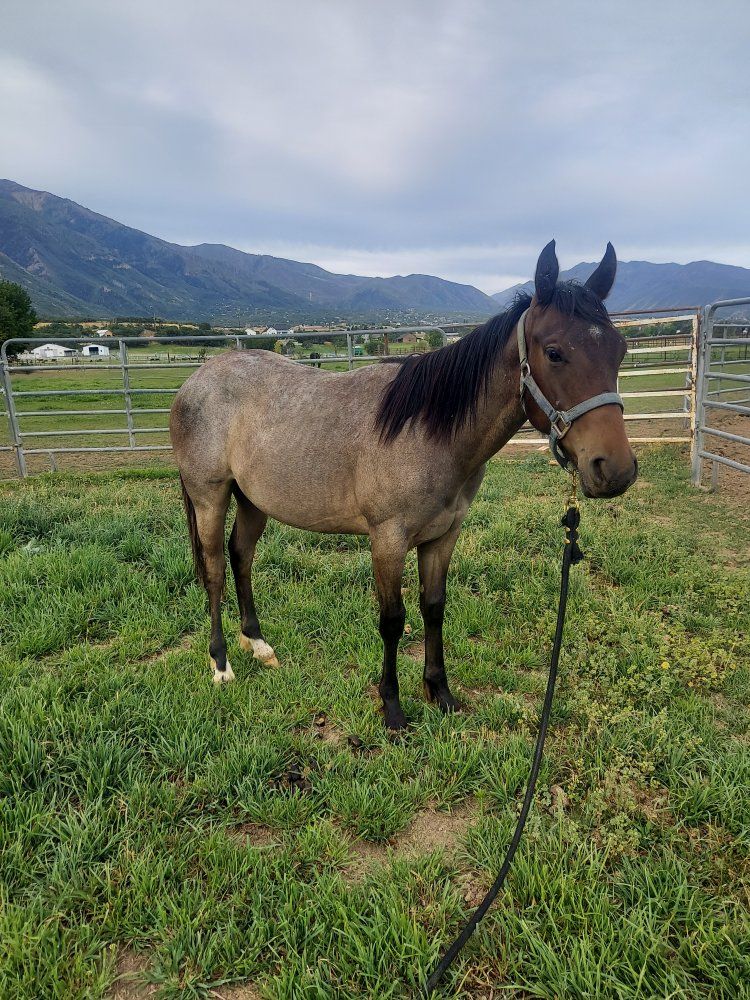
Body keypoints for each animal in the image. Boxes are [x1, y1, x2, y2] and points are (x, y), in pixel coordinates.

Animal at [170, 242, 637, 730]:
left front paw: (440, 693)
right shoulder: (388, 540)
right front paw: (392, 708)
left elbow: (434, 608)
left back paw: (257, 643)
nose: (615, 469)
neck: (428, 431)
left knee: (241, 557)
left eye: (620, 349)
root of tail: (196, 381)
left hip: (253, 501)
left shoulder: (442, 537)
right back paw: (221, 663)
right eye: (554, 352)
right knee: (215, 569)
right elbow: (393, 620)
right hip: (209, 497)